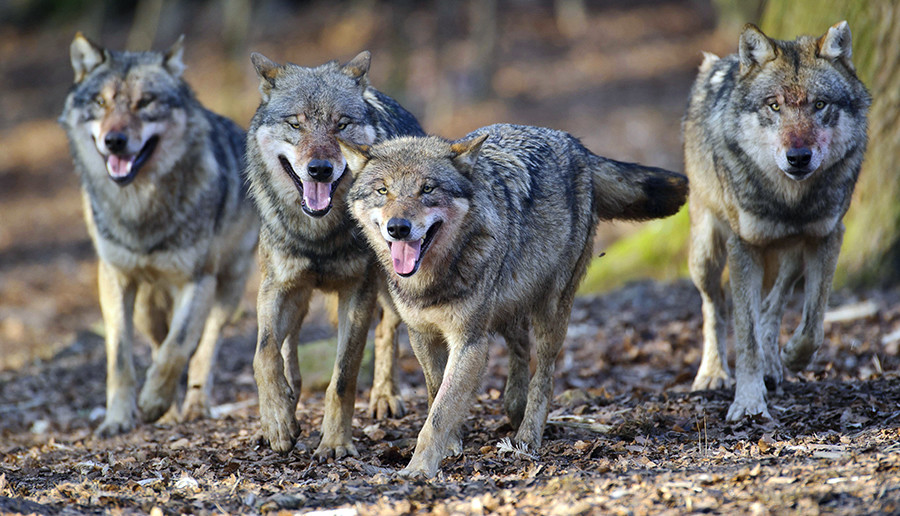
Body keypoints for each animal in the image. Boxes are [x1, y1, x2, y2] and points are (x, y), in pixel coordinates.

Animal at [59, 32, 258, 436]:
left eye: (145, 102)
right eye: (101, 102)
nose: (115, 140)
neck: (140, 209)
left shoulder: (197, 282)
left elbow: (177, 348)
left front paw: (152, 402)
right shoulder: (114, 279)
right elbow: (121, 359)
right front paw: (119, 419)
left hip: (227, 289)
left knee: (203, 348)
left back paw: (194, 406)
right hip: (147, 307)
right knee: (156, 342)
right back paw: (169, 412)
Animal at [243, 50, 426, 458]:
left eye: (341, 125)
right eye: (295, 124)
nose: (320, 170)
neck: (319, 236)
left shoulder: (357, 293)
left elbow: (343, 376)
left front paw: (335, 442)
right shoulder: (277, 286)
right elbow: (264, 353)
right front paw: (277, 422)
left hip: (391, 284)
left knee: (387, 331)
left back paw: (384, 396)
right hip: (298, 298)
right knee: (288, 352)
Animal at [340, 123, 688, 478]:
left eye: (427, 189)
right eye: (383, 190)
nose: (398, 228)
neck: (433, 280)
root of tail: (576, 146)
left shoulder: (470, 341)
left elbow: (439, 413)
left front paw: (420, 468)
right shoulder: (421, 335)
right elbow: (437, 393)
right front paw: (450, 445)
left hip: (551, 312)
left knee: (545, 376)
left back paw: (528, 435)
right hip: (512, 306)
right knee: (520, 350)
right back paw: (514, 408)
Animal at [684, 22, 868, 422]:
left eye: (819, 105)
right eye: (774, 105)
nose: (798, 157)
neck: (791, 201)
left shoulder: (827, 237)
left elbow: (813, 324)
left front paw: (792, 358)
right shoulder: (744, 247)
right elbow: (746, 335)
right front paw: (748, 401)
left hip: (792, 256)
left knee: (772, 306)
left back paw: (774, 365)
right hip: (705, 254)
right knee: (714, 308)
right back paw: (713, 373)